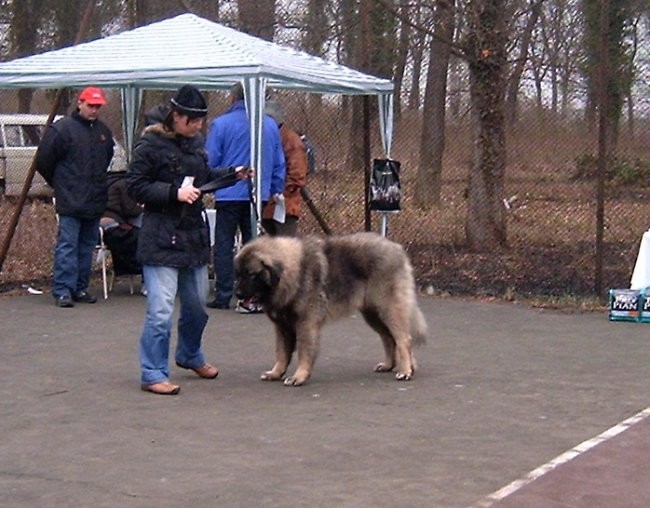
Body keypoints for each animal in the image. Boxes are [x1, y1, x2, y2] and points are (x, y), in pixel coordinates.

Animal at [232, 232, 426, 386]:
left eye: (251, 275)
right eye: (238, 274)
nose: (238, 293)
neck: (293, 274)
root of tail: (397, 249)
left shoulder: (306, 324)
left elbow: (304, 352)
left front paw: (299, 376)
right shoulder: (282, 327)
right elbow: (281, 353)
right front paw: (275, 373)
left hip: (388, 309)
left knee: (403, 339)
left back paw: (405, 370)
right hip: (372, 314)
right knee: (388, 338)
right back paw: (389, 365)